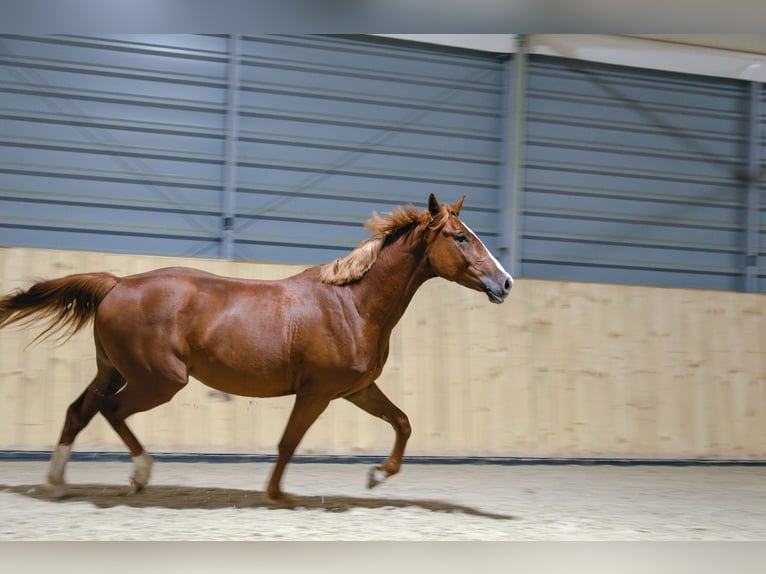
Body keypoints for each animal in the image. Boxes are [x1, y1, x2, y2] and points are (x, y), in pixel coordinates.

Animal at [0, 193, 513, 507]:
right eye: (461, 236)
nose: (505, 283)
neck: (352, 304)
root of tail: (117, 283)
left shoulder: (357, 390)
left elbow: (403, 422)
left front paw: (375, 476)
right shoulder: (318, 393)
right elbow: (289, 441)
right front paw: (278, 496)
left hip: (113, 370)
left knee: (78, 411)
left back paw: (56, 483)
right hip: (159, 380)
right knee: (111, 411)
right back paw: (140, 475)